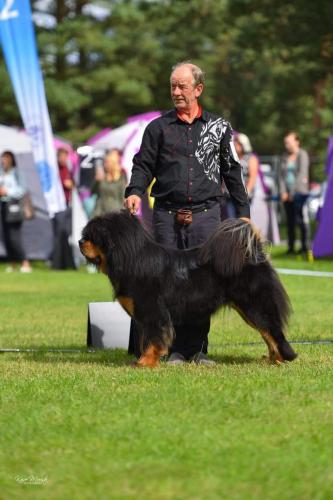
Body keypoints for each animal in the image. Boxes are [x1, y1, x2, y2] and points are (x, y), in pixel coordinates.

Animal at [80, 211, 296, 368]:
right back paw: (272, 360)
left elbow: (153, 339)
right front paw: (144, 361)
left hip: (255, 307)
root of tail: (255, 254)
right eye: (85, 236)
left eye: (93, 237)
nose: (80, 242)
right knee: (268, 334)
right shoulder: (145, 315)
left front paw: (145, 363)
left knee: (273, 332)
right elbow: (145, 339)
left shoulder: (153, 312)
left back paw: (283, 358)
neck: (132, 259)